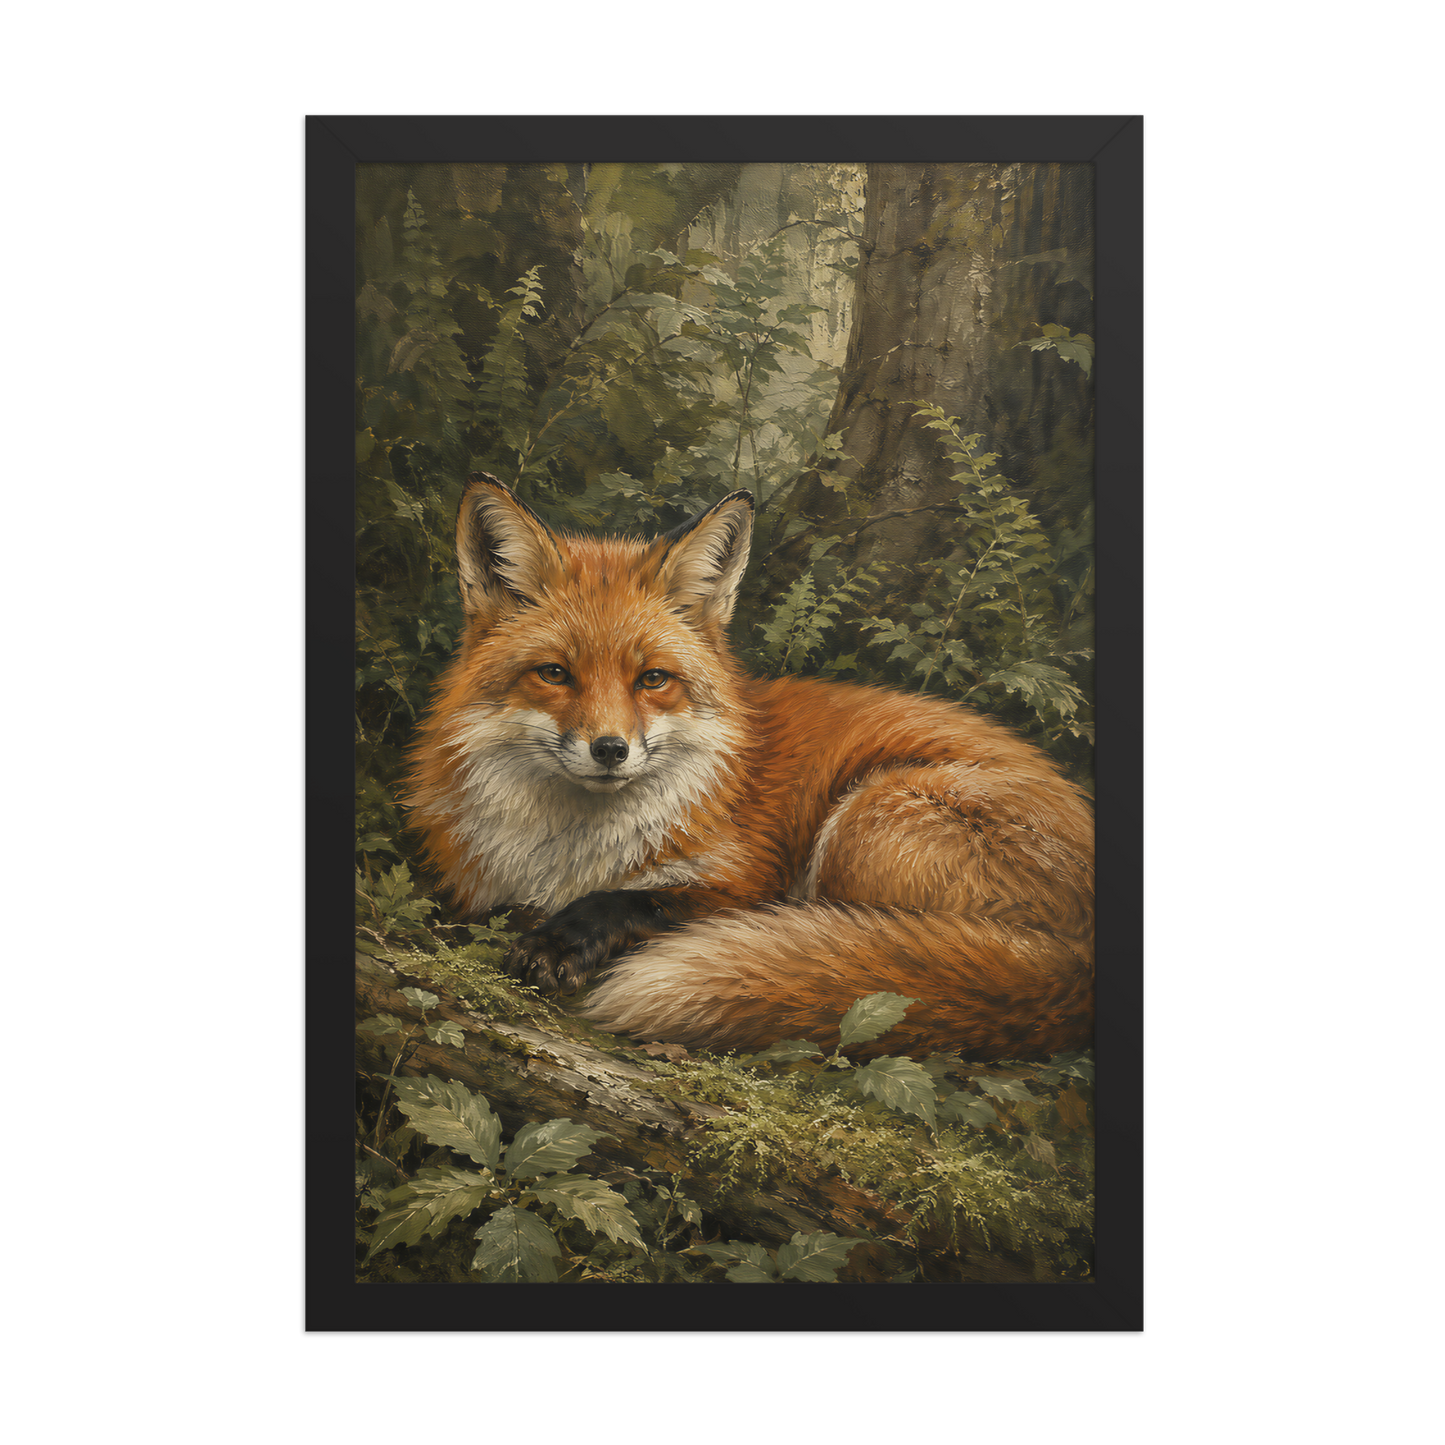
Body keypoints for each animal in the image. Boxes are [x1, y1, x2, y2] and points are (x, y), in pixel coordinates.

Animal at [405, 472, 1094, 1063]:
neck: (567, 853)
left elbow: (642, 902)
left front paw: (561, 940)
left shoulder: (746, 885)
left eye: (653, 680)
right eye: (554, 674)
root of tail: (1080, 968)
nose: (610, 749)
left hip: (866, 819)